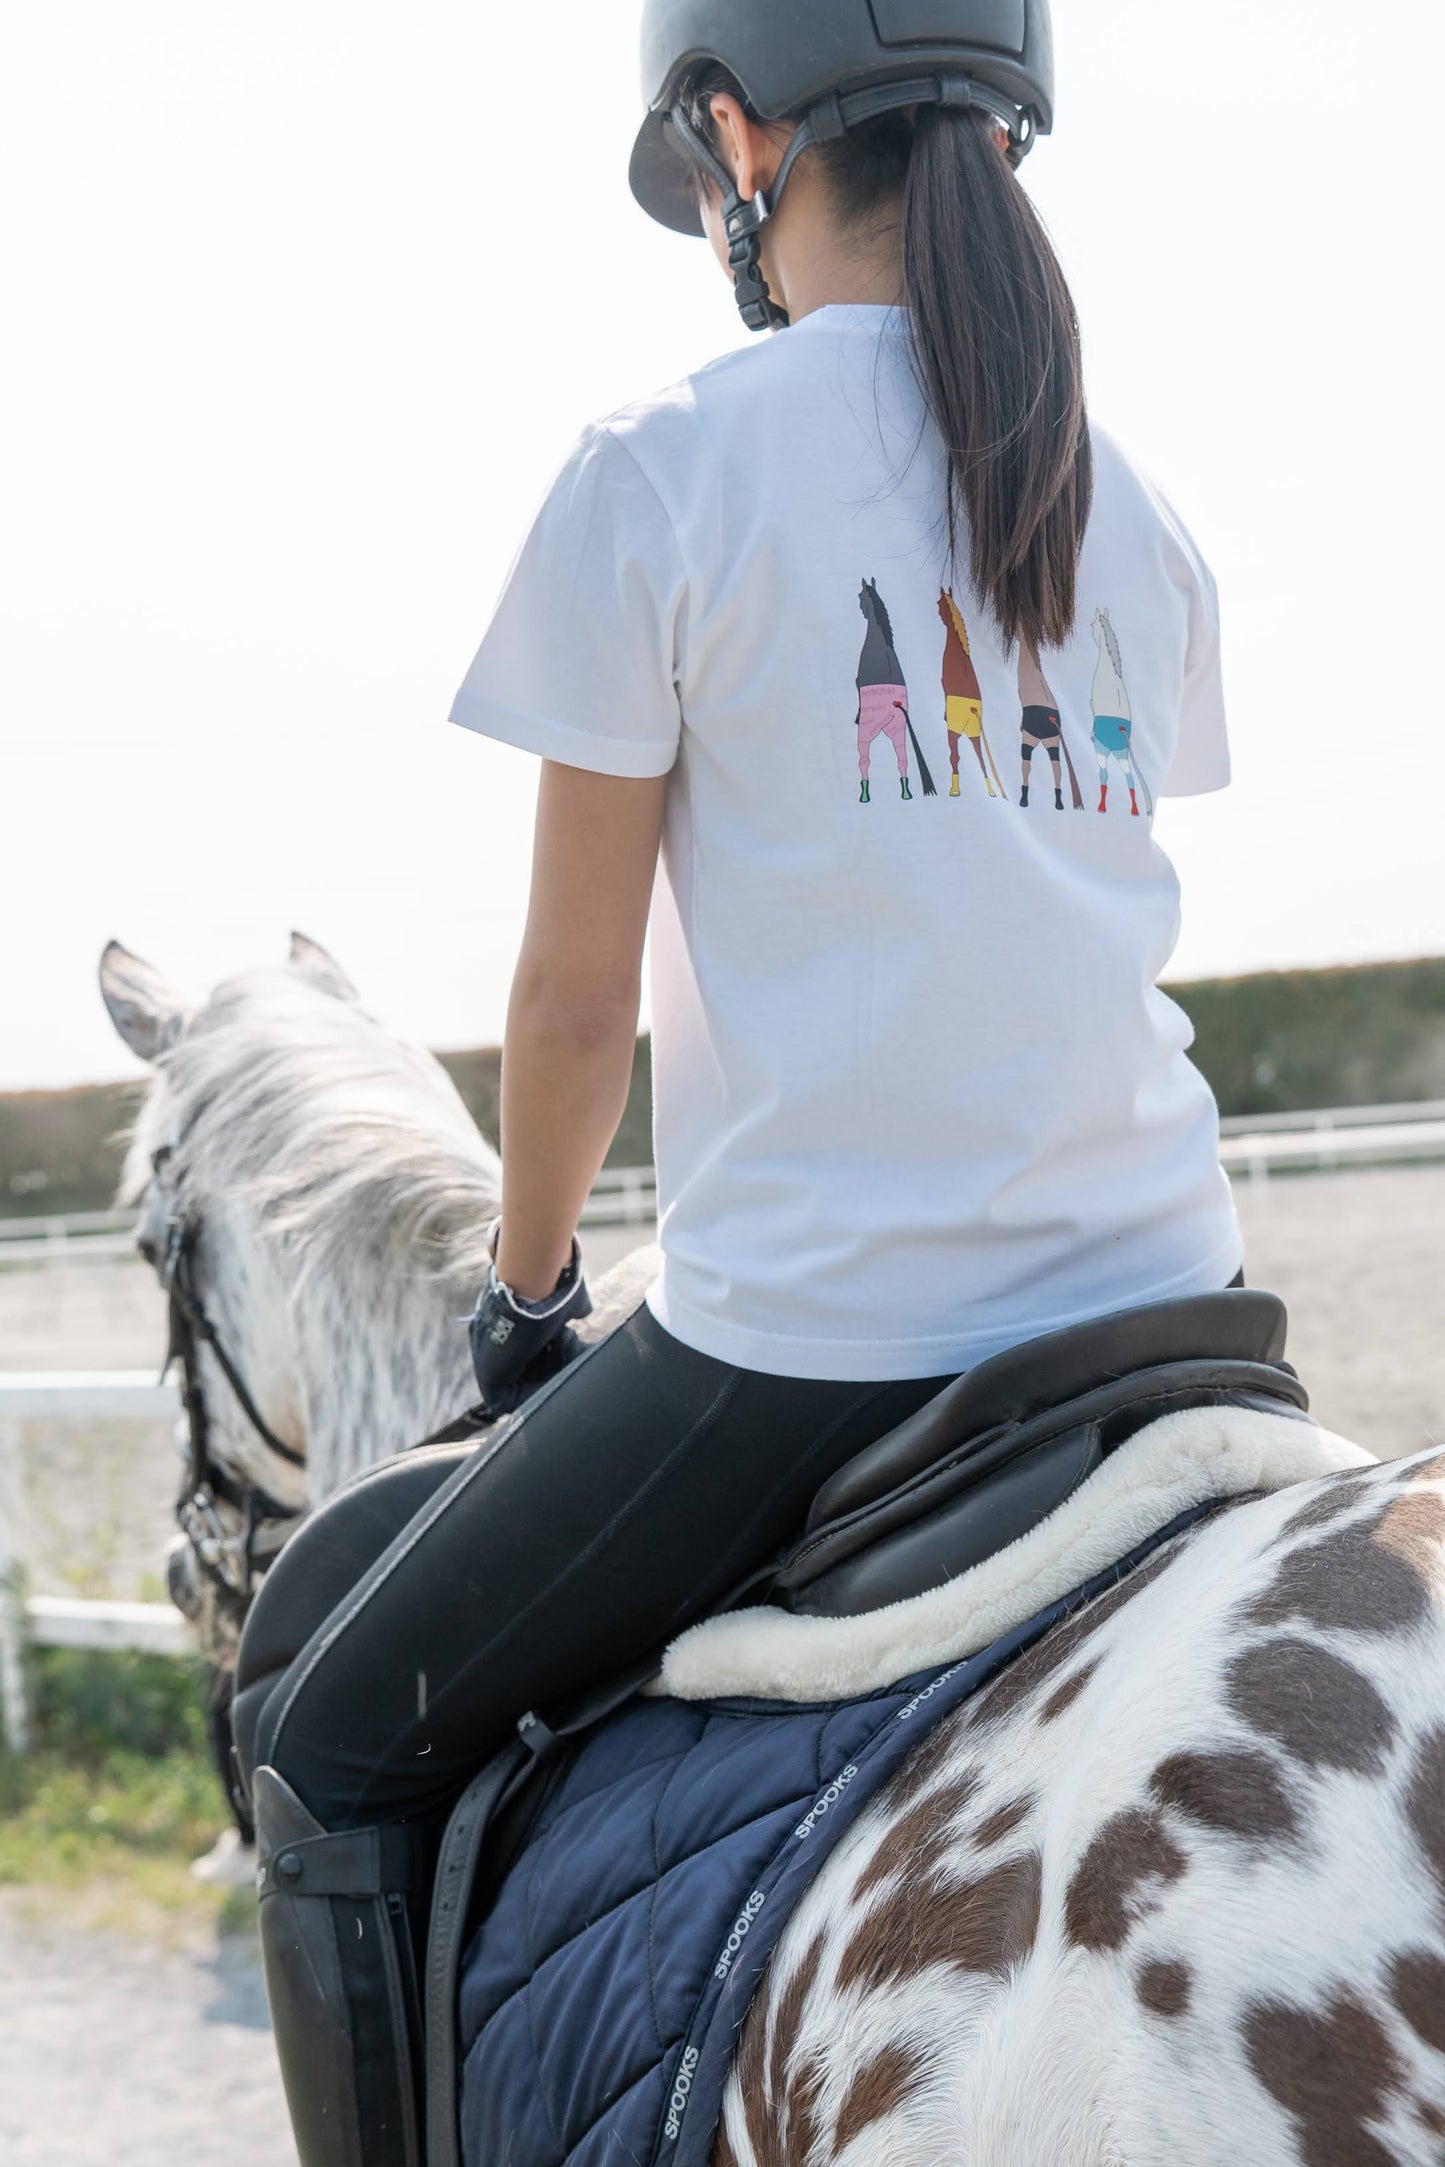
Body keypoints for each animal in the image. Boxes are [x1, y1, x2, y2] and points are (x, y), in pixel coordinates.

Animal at [1090, 607, 1155, 818]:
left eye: (1092, 625)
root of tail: (1121, 729)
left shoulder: (1092, 704)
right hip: (1122, 754)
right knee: (1130, 780)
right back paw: (1134, 810)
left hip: (1102, 751)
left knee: (1104, 775)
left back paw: (1102, 807)